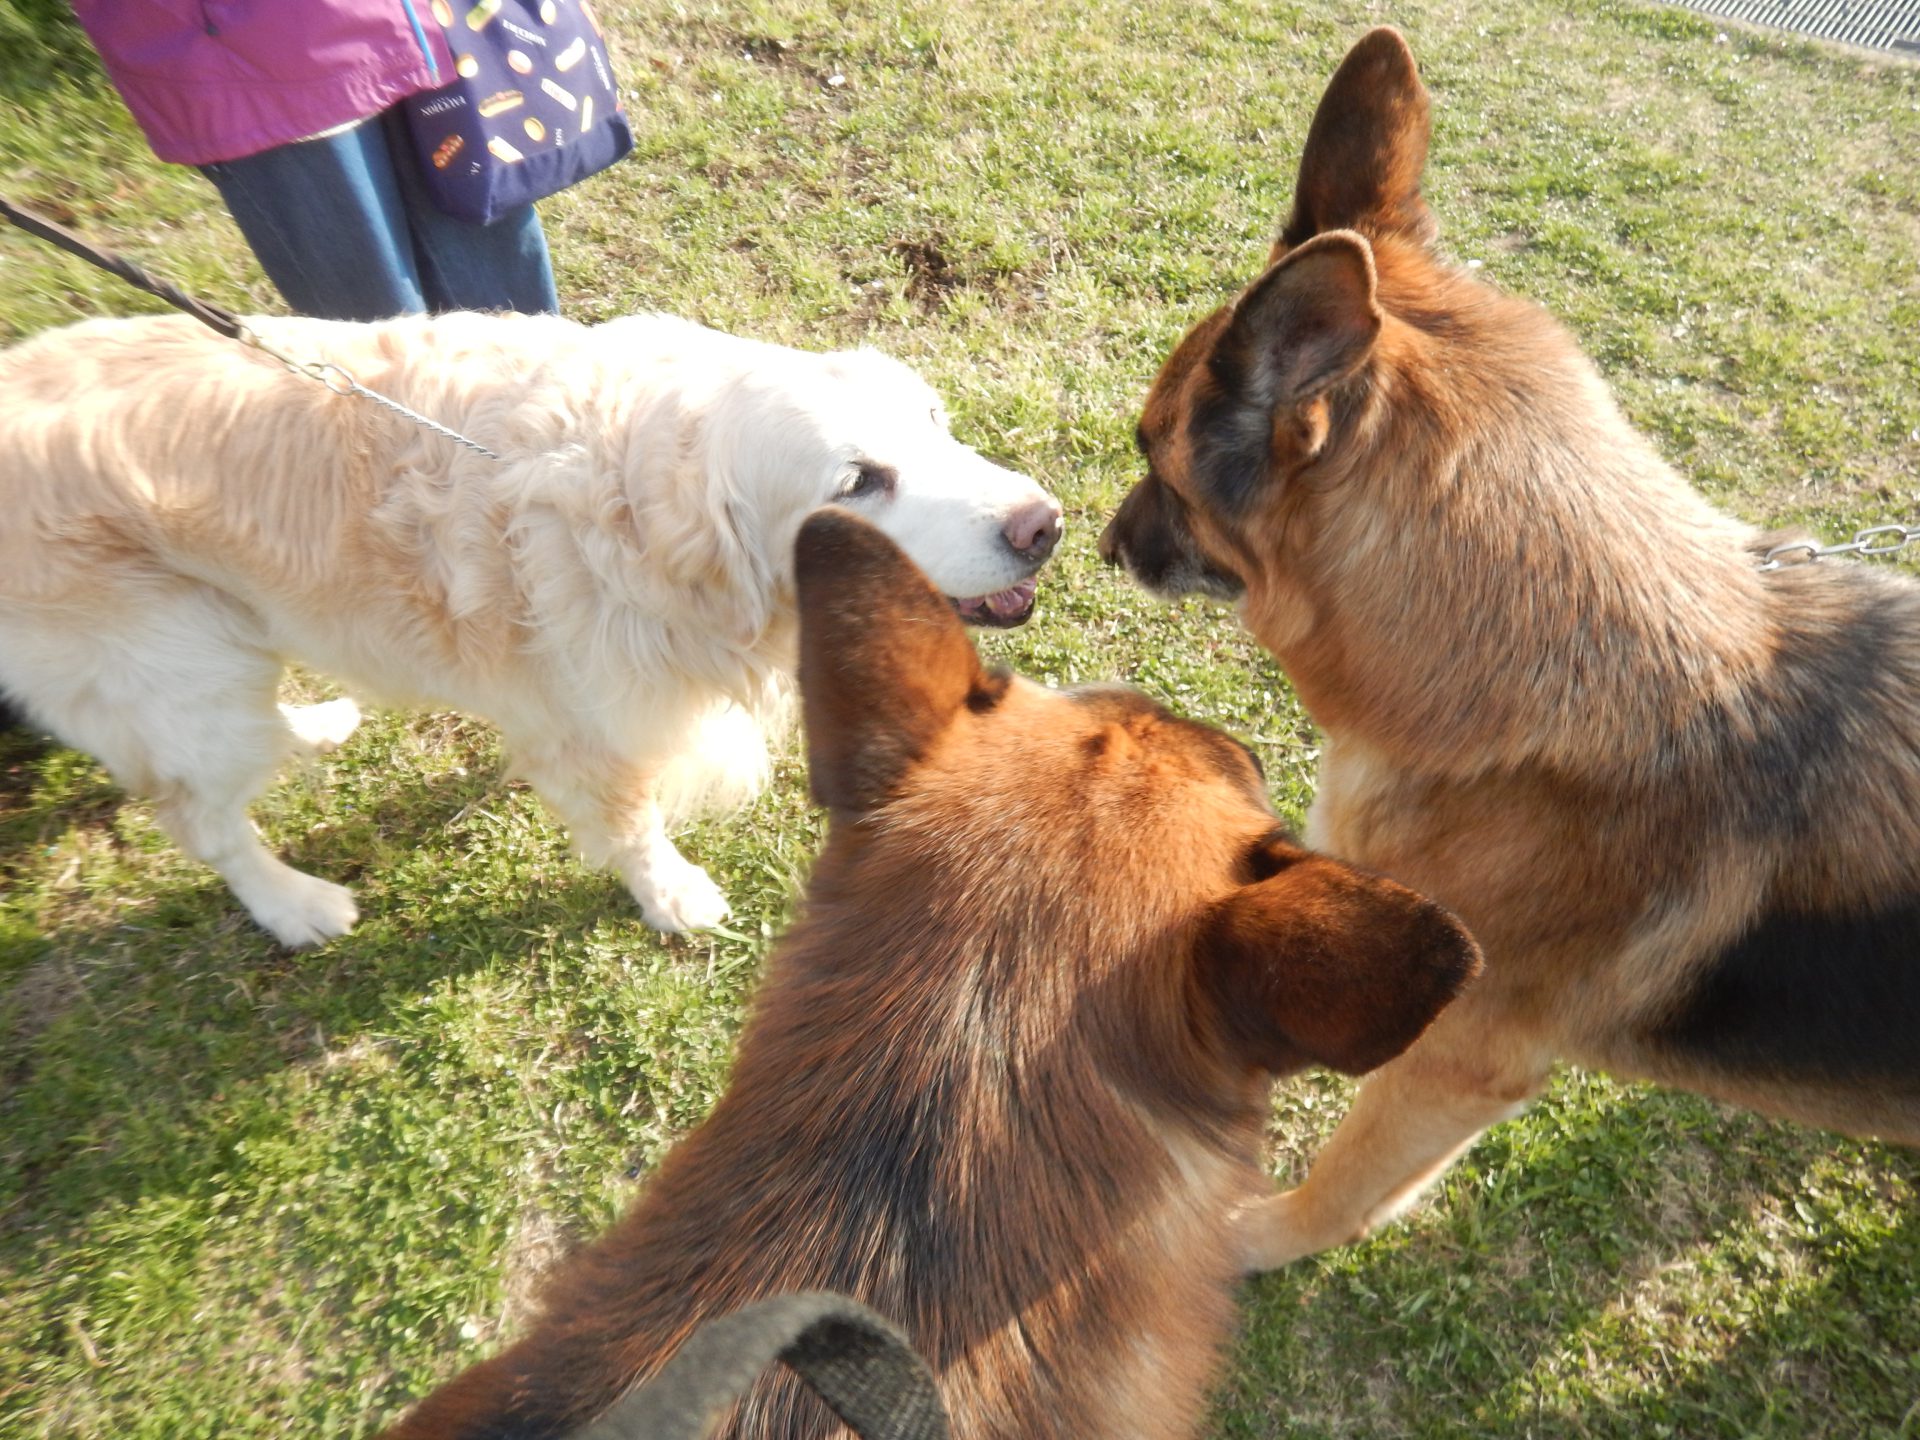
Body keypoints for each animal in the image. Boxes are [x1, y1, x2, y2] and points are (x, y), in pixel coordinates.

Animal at [0, 314, 1067, 940]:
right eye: (856, 481)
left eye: (934, 421)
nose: (1042, 526)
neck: (638, 504)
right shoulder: (591, 731)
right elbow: (633, 824)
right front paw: (673, 898)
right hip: (180, 674)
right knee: (202, 818)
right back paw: (295, 906)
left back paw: (315, 725)